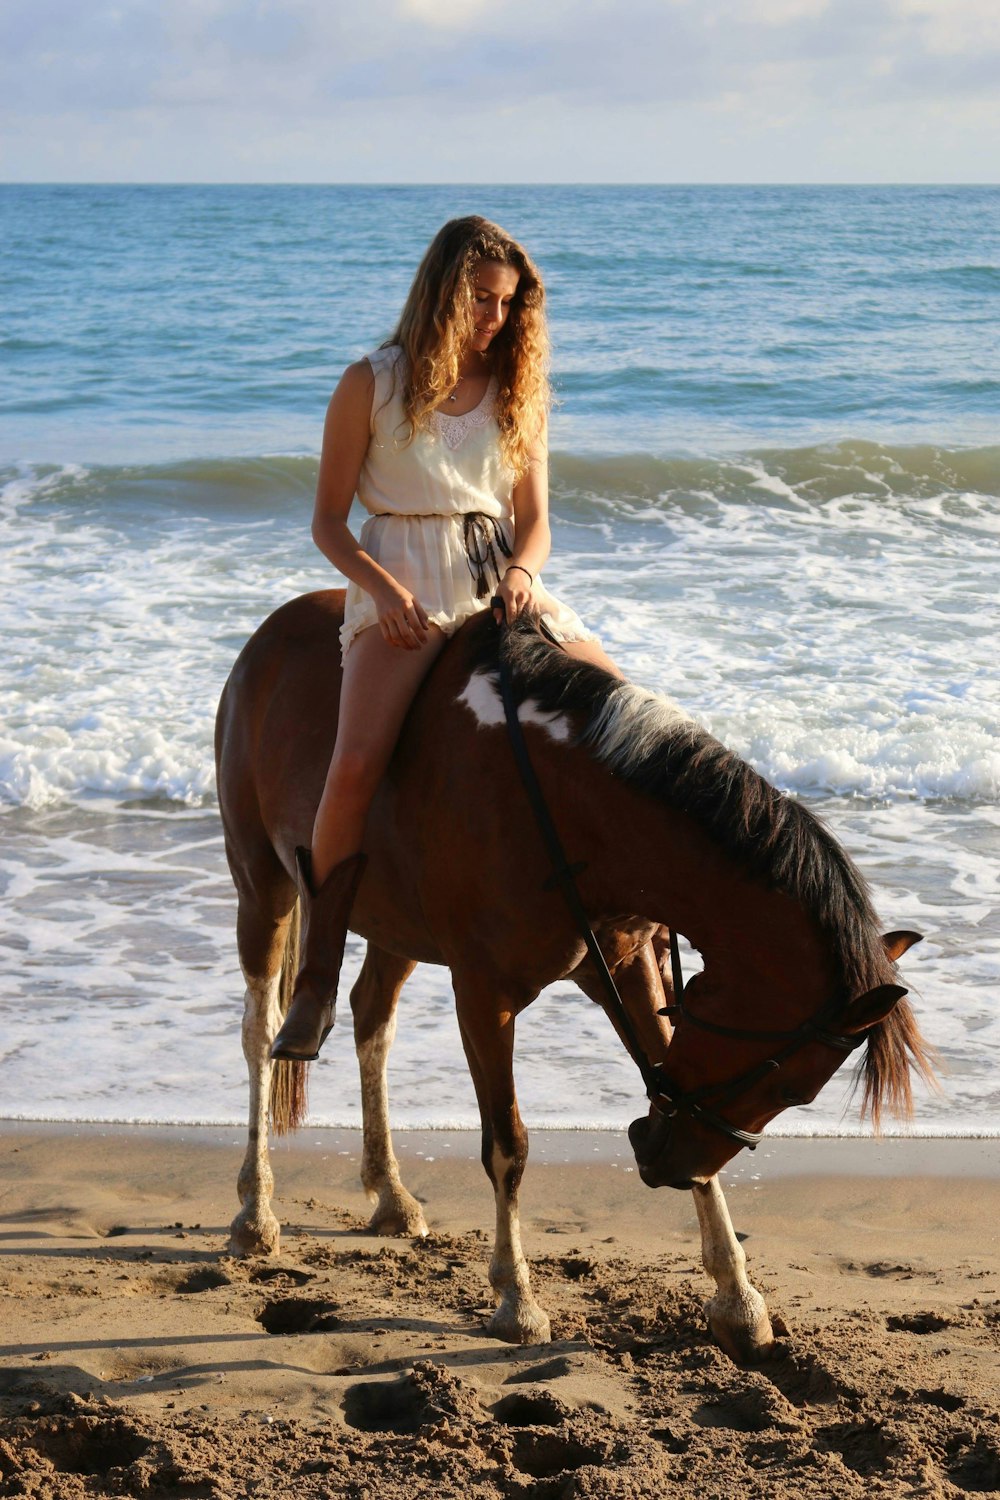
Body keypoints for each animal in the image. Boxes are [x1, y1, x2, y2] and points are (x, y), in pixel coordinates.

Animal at [215, 591, 935, 1368]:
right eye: (788, 1088)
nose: (664, 1165)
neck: (577, 813)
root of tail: (277, 624)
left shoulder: (626, 967)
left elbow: (667, 1086)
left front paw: (738, 1299)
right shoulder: (484, 994)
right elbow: (508, 1145)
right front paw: (516, 1301)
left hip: (393, 923)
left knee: (371, 1015)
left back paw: (390, 1194)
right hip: (261, 882)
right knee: (259, 1031)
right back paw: (254, 1208)